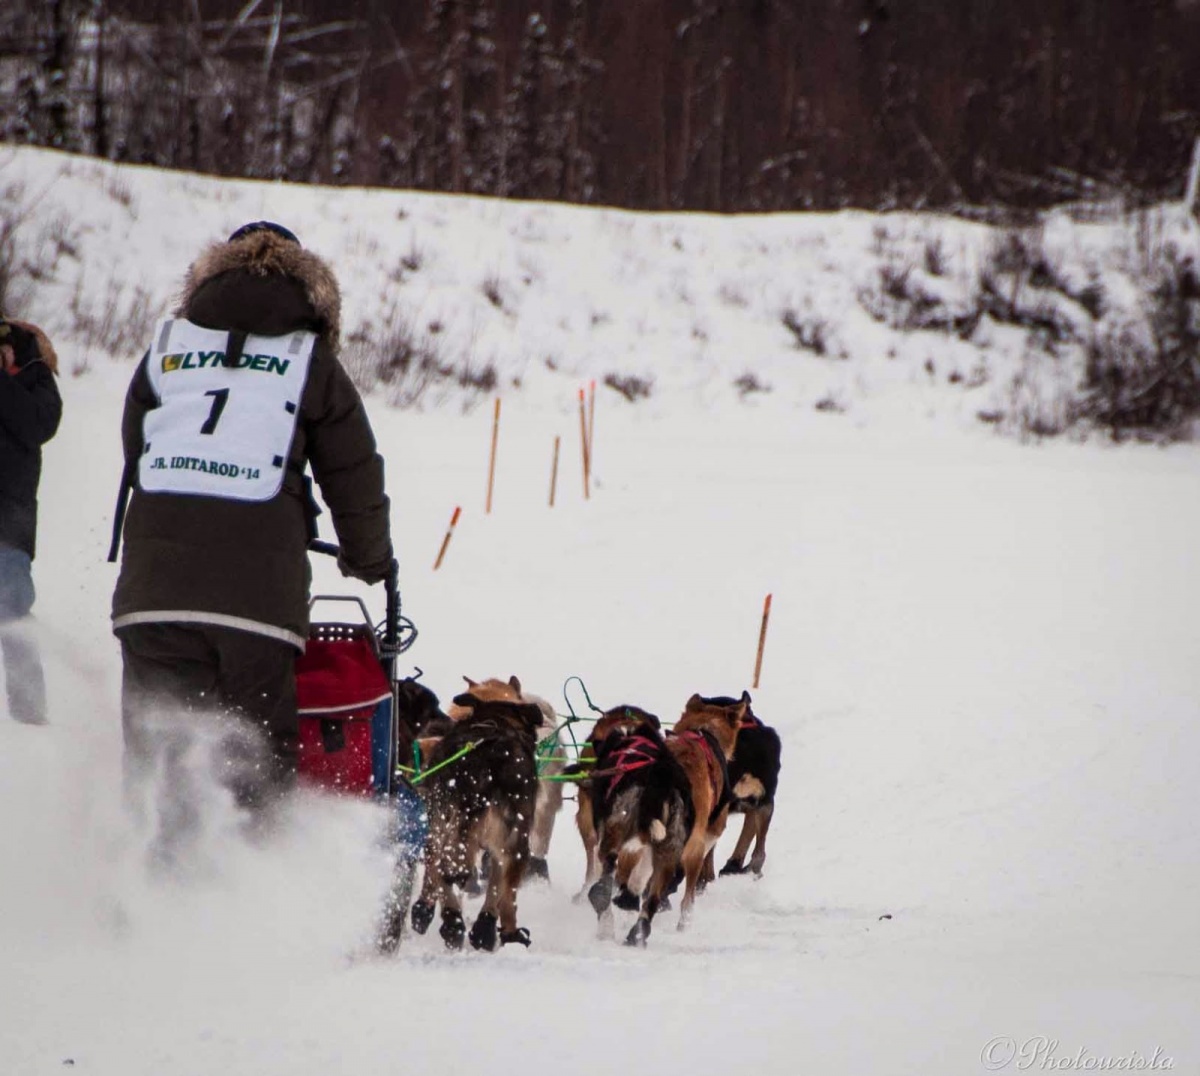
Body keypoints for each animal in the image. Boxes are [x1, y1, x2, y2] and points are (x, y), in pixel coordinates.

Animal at [412, 690, 544, 950]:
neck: (497, 720)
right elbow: (498, 888)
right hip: (516, 839)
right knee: (506, 893)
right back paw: (505, 932)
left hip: (445, 822)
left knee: (441, 865)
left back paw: (454, 922)